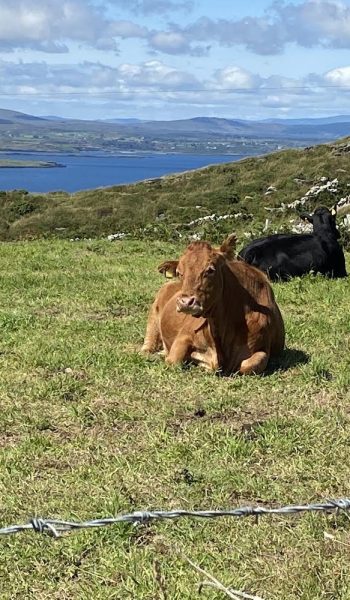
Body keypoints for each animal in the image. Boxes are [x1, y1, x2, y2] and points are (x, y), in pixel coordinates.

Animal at [142, 234, 284, 376]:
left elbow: (249, 365)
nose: (185, 302)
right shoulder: (184, 336)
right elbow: (173, 361)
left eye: (210, 270)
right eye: (179, 272)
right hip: (153, 316)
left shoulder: (262, 349)